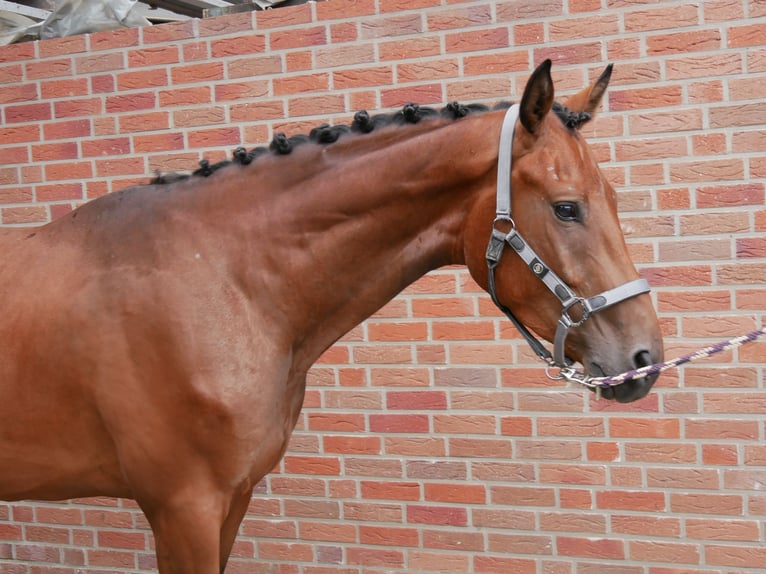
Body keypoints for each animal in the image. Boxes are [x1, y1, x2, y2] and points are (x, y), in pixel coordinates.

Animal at [0, 60, 660, 572]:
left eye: (613, 199)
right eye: (567, 208)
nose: (644, 358)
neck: (224, 277)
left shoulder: (231, 500)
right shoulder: (183, 508)